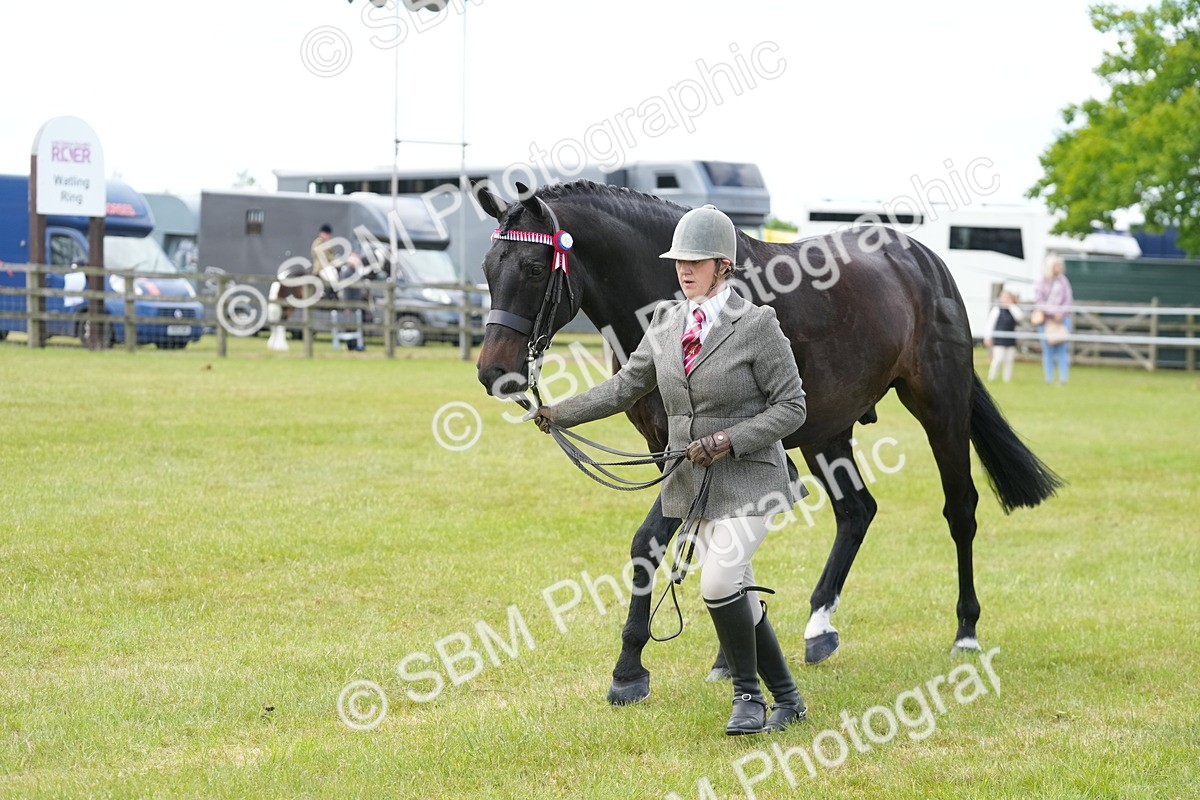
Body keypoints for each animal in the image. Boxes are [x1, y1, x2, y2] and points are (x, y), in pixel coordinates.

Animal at [472, 179, 1062, 706]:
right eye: (486, 268)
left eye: (531, 269)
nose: (494, 372)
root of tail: (922, 259)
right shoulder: (677, 454)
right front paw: (726, 655)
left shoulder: (702, 451)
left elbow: (649, 545)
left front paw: (629, 670)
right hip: (827, 433)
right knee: (857, 510)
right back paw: (819, 627)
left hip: (941, 408)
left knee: (960, 509)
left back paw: (966, 630)